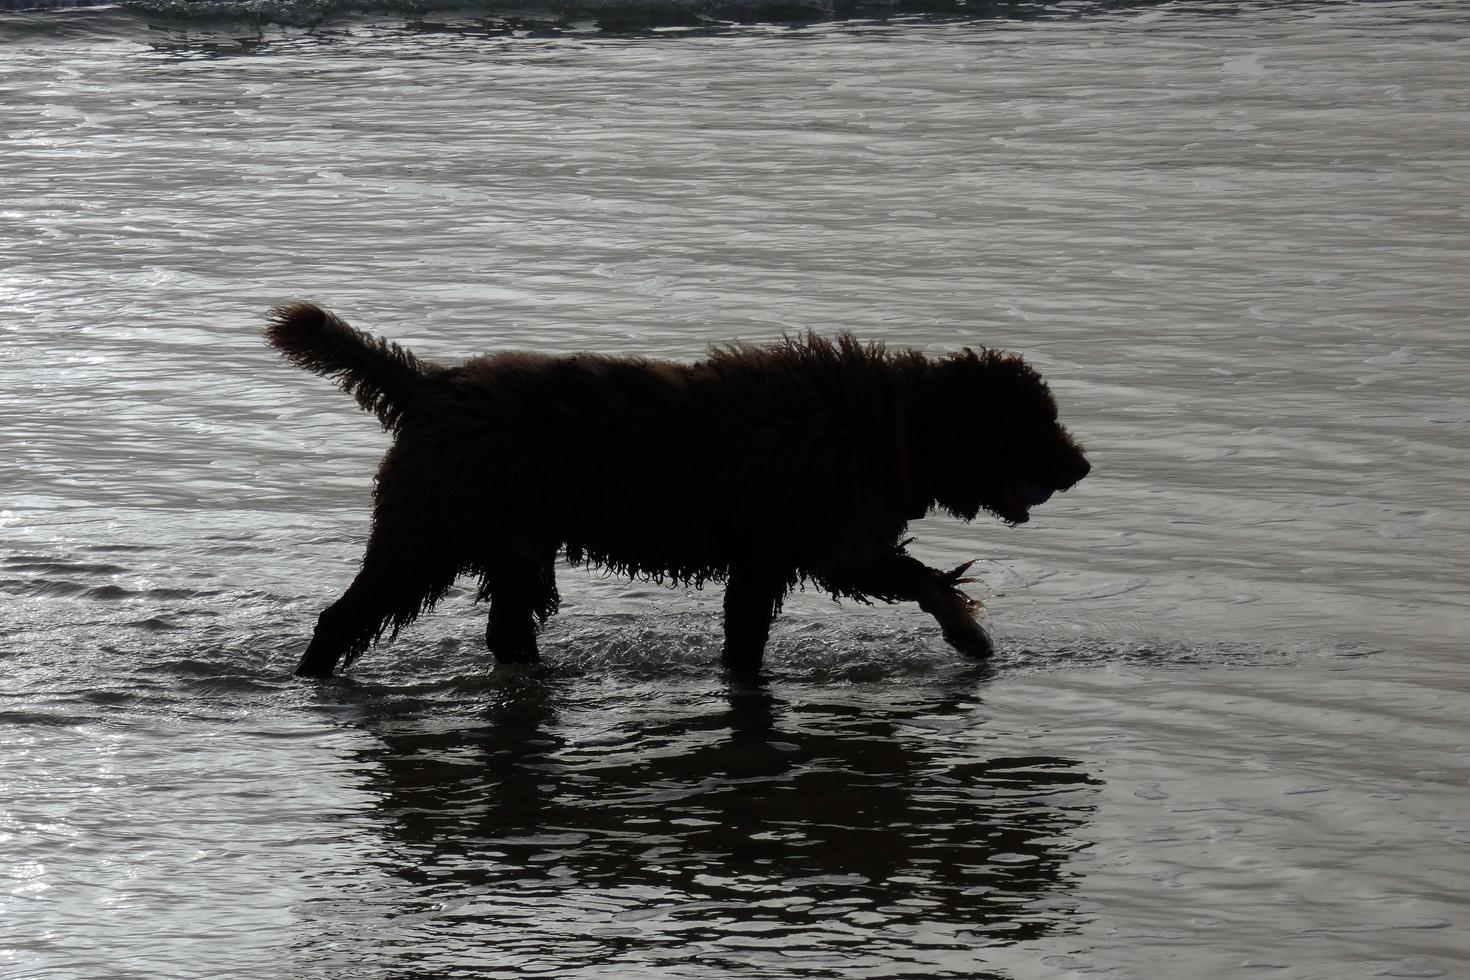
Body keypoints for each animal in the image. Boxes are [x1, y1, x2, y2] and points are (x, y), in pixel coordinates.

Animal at [267, 302, 1093, 678]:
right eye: (1033, 423)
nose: (1081, 467)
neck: (886, 421)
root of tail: (430, 386)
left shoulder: (798, 555)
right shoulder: (806, 553)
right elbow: (911, 581)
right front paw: (969, 635)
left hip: (514, 548)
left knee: (507, 631)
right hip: (425, 535)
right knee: (342, 618)